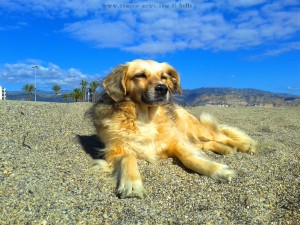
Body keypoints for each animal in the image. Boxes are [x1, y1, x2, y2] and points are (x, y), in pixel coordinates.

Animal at [89, 59, 255, 199]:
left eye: (163, 77)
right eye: (140, 75)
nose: (162, 88)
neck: (146, 118)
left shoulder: (174, 143)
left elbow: (188, 157)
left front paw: (218, 169)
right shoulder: (113, 151)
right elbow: (128, 157)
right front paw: (132, 183)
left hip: (195, 130)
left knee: (221, 135)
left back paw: (245, 146)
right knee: (207, 143)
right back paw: (226, 150)